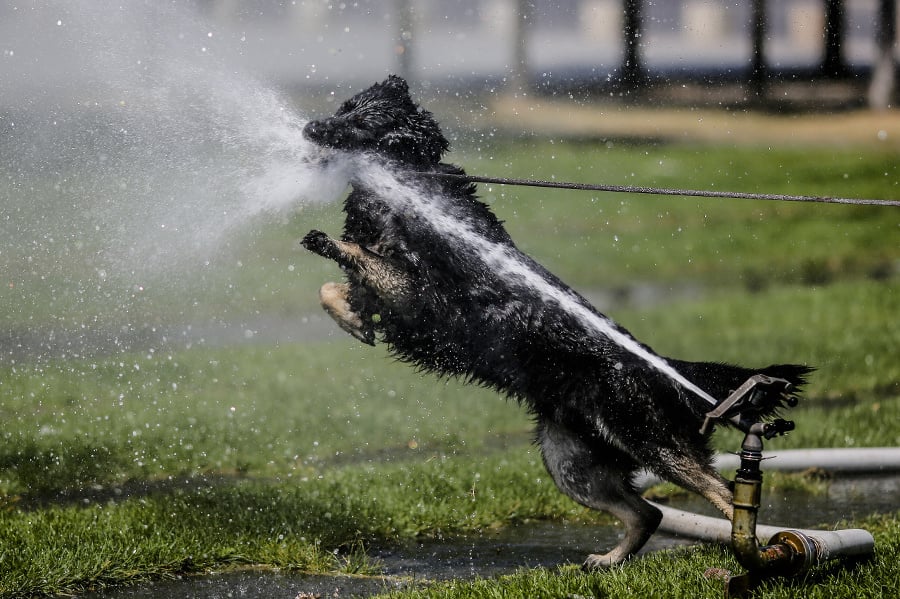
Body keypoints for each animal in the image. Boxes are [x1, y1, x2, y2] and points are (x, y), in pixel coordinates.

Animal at [300, 77, 808, 568]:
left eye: (361, 120)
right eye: (344, 107)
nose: (309, 127)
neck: (406, 181)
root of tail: (665, 367)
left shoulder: (417, 291)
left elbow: (357, 258)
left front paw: (326, 247)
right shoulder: (390, 295)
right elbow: (333, 288)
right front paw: (352, 320)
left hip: (650, 441)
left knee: (722, 492)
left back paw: (756, 553)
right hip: (570, 461)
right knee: (648, 512)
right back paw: (611, 560)